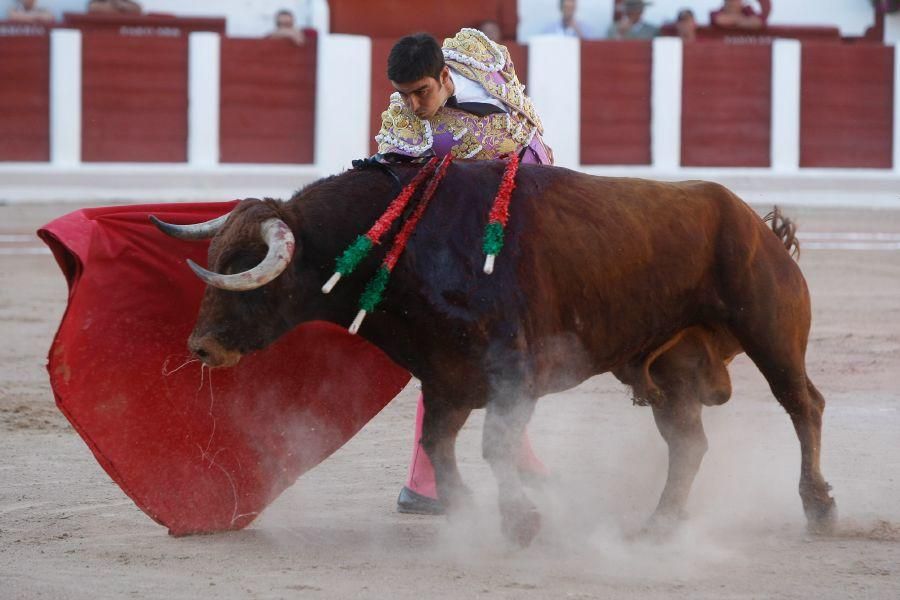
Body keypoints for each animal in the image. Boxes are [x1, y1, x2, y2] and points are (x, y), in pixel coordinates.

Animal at [151, 162, 832, 548]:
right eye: (216, 258)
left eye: (248, 269)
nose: (201, 346)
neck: (408, 245)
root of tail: (756, 223)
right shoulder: (447, 378)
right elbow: (439, 443)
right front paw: (469, 510)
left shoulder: (514, 374)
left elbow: (494, 445)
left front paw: (520, 522)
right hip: (672, 368)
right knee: (688, 443)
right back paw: (658, 526)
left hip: (770, 334)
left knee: (803, 405)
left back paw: (818, 506)